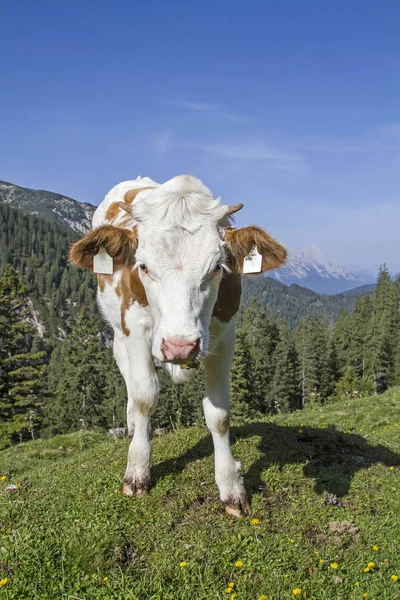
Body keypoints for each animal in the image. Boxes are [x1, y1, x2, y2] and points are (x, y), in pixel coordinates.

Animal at [69, 173, 288, 516]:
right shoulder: (136, 326)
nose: (180, 347)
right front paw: (137, 471)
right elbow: (144, 396)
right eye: (143, 266)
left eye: (217, 267)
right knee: (130, 380)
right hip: (118, 332)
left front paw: (231, 485)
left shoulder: (225, 333)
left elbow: (219, 414)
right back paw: (132, 426)